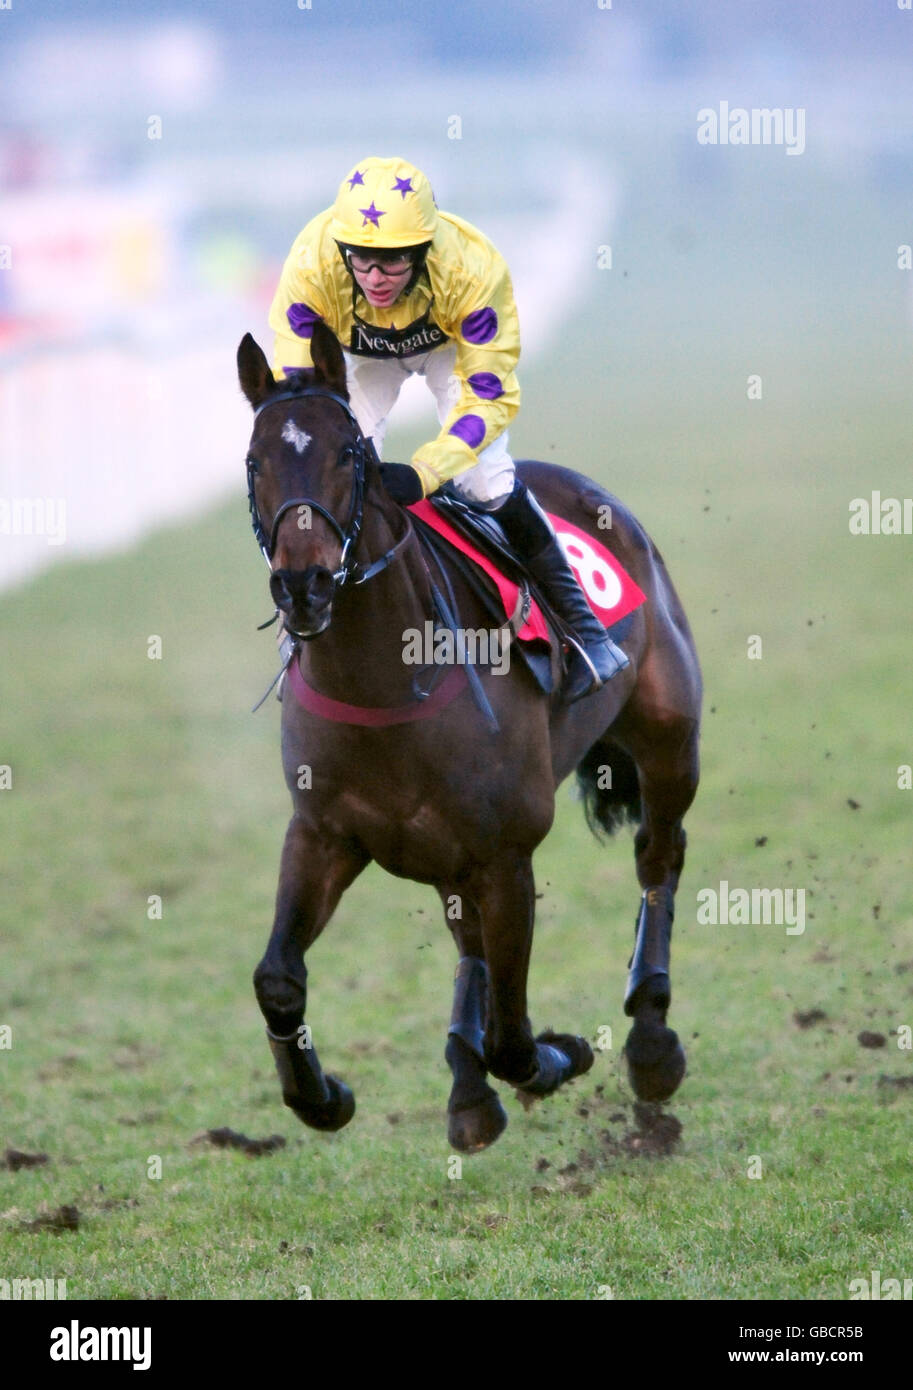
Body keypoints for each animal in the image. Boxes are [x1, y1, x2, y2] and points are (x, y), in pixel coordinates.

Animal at [239, 322, 700, 1150]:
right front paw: (321, 1097)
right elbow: (278, 979)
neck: (383, 681)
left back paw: (649, 1041)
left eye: (349, 454)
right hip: (442, 851)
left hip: (667, 738)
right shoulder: (323, 833)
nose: (303, 585)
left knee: (659, 856)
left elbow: (513, 1037)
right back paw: (465, 1086)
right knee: (469, 947)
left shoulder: (504, 855)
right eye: (256, 460)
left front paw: (562, 1053)